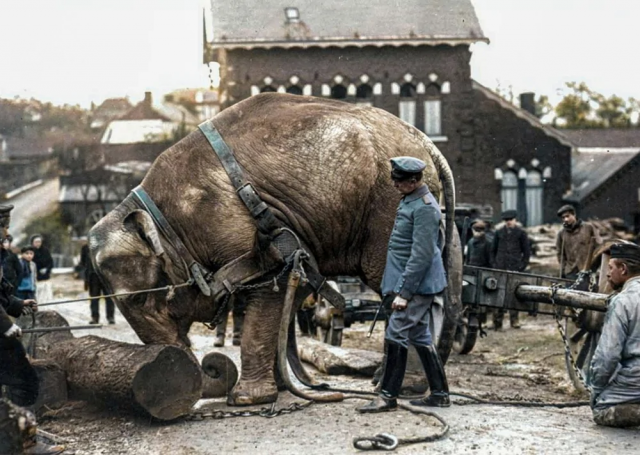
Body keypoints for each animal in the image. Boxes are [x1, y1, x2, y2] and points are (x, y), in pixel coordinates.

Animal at [90, 92, 460, 406]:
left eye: (139, 300)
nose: (209, 367)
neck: (156, 212)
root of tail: (427, 145)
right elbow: (284, 296)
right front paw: (280, 391)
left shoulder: (241, 227)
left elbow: (271, 285)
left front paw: (245, 400)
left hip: (387, 207)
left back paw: (400, 388)